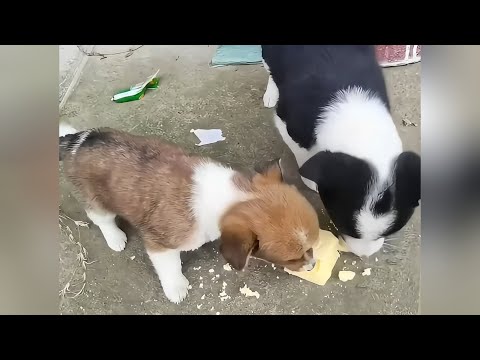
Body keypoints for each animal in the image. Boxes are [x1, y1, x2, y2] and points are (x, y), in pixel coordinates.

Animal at [60, 124, 320, 304]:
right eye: (292, 258)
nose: (313, 265)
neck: (231, 197)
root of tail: (77, 141)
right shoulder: (160, 244)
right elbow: (170, 267)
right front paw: (176, 288)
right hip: (96, 201)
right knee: (102, 220)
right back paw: (115, 238)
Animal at [260, 46, 422, 258]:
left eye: (388, 232)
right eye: (342, 225)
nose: (364, 255)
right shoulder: (287, 123)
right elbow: (302, 152)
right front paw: (310, 180)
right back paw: (271, 93)